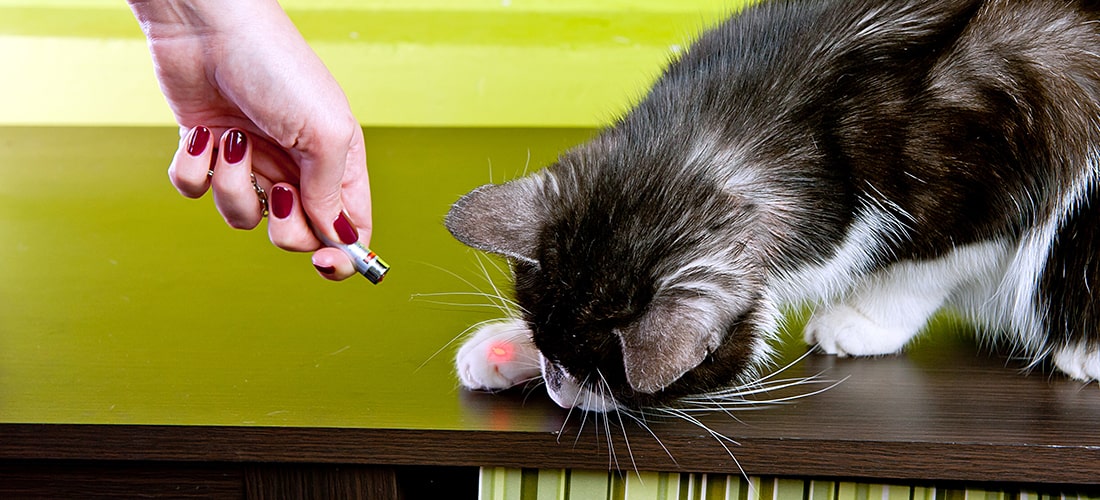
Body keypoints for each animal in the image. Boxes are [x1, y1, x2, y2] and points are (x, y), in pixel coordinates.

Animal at [440, 0, 1100, 413]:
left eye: (605, 377)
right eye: (553, 350)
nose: (558, 391)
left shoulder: (989, 182)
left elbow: (923, 266)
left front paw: (862, 319)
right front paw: (505, 348)